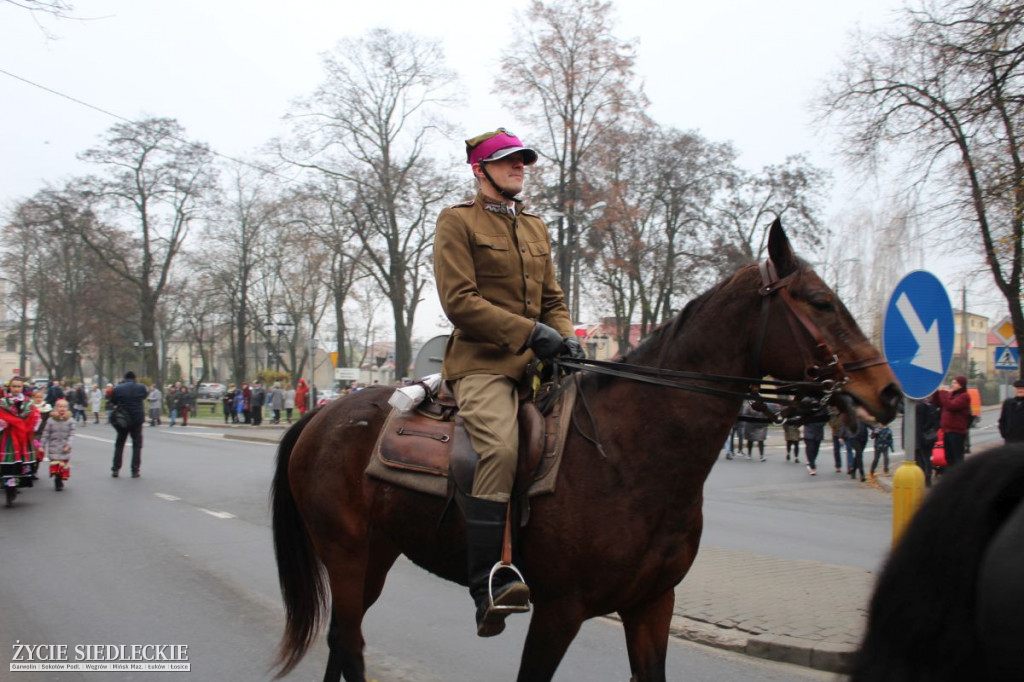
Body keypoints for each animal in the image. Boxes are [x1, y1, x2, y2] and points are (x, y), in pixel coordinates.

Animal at [268, 220, 901, 675]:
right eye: (819, 301)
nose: (890, 393)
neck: (628, 454)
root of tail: (323, 414)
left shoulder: (652, 607)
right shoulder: (559, 611)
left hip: (375, 556)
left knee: (342, 641)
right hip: (347, 555)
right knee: (349, 644)